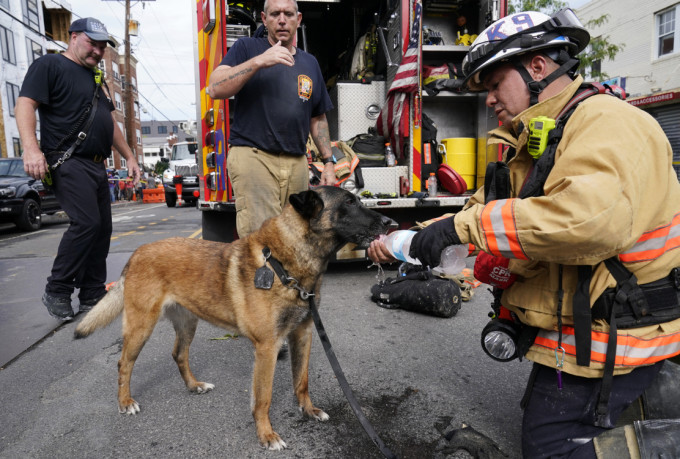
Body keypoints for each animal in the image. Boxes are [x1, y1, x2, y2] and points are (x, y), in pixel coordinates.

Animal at [73, 186, 394, 450]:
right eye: (349, 202)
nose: (390, 223)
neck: (284, 264)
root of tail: (136, 253)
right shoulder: (267, 348)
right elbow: (263, 398)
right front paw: (266, 435)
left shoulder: (303, 334)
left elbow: (301, 381)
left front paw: (308, 410)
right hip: (141, 326)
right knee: (124, 363)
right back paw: (125, 402)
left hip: (188, 323)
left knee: (178, 353)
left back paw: (194, 385)